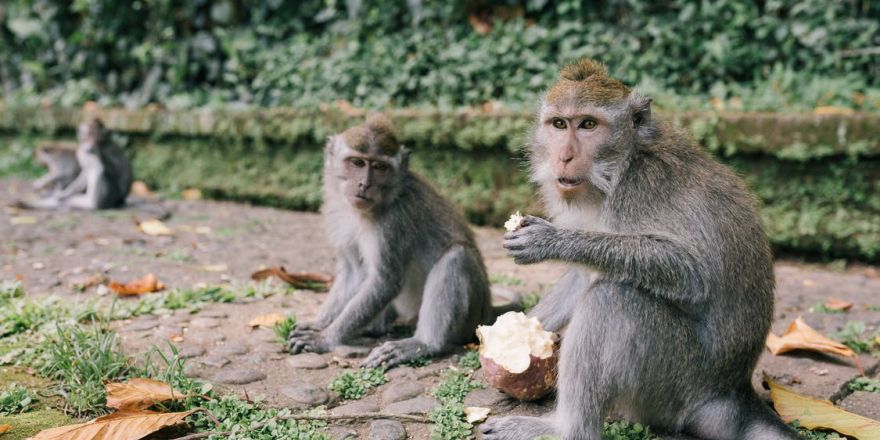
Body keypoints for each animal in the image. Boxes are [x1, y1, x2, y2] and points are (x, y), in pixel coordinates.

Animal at [288, 113, 498, 368]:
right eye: (357, 163)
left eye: (380, 167)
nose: (364, 184)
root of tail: (489, 312)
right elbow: (353, 272)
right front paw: (318, 323)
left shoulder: (393, 223)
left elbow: (384, 282)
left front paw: (324, 338)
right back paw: (375, 328)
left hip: (472, 317)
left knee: (457, 257)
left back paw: (423, 343)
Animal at [478, 59, 800, 440]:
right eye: (559, 124)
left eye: (588, 125)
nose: (565, 156)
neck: (622, 164)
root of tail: (730, 392)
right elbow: (581, 275)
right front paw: (519, 333)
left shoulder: (639, 189)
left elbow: (690, 273)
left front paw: (550, 241)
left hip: (674, 384)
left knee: (615, 299)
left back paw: (565, 428)